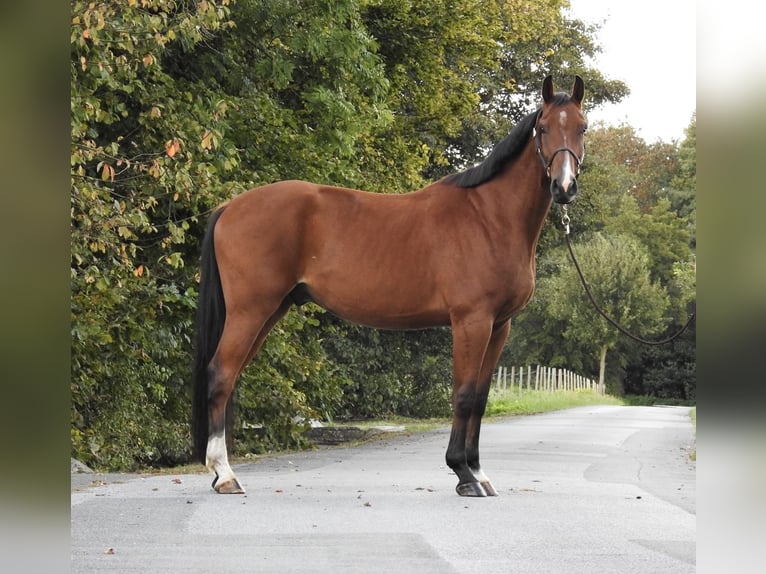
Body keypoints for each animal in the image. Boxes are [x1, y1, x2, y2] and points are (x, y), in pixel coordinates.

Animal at [194, 76, 588, 498]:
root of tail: (229, 207)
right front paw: (463, 474)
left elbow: (480, 398)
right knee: (220, 374)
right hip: (251, 310)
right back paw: (225, 475)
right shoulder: (472, 321)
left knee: (230, 376)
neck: (488, 217)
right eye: (543, 128)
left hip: (271, 310)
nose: (564, 186)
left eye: (582, 128)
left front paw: (480, 473)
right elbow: (463, 395)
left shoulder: (500, 325)